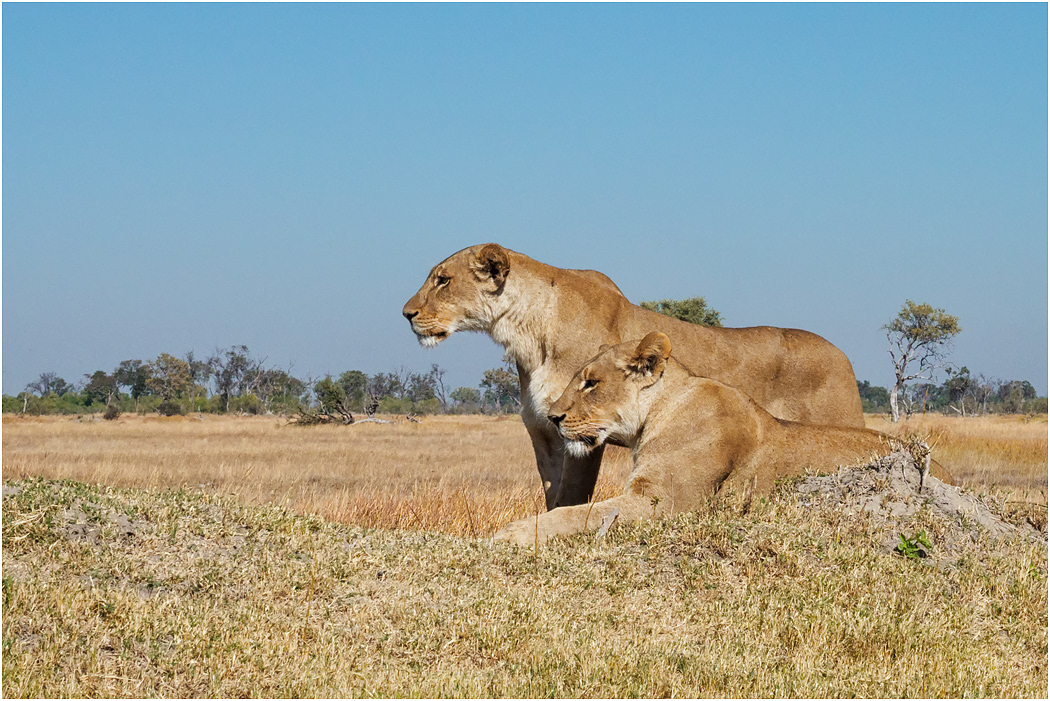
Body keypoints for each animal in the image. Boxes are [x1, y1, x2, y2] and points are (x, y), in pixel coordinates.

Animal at [402, 243, 865, 511]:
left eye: (443, 280)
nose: (406, 314)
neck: (526, 334)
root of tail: (843, 355)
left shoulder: (584, 436)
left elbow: (571, 496)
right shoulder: (544, 432)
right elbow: (552, 494)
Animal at [493, 332, 954, 545]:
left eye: (591, 383)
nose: (553, 417)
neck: (660, 410)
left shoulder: (664, 503)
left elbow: (576, 514)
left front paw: (511, 533)